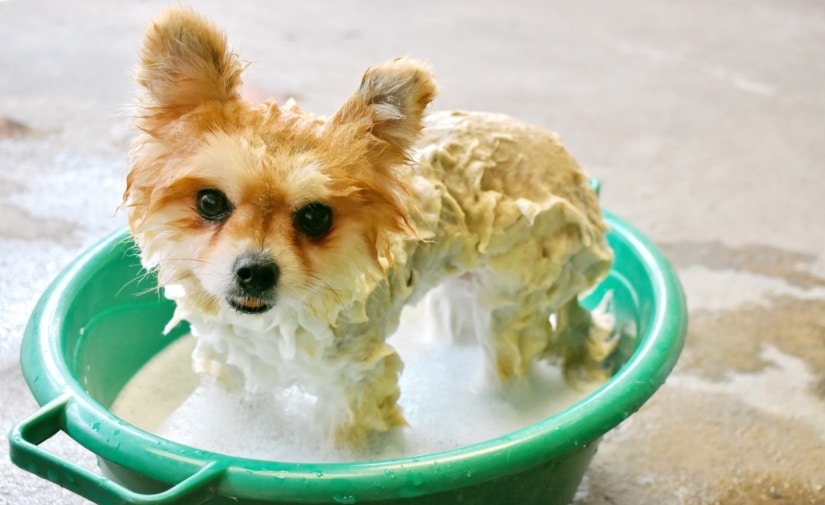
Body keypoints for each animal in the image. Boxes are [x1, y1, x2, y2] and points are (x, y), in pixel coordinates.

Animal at [122, 5, 612, 442]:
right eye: (210, 202)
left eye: (315, 217)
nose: (255, 272)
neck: (281, 320)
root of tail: (571, 173)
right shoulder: (231, 366)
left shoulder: (356, 386)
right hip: (461, 296)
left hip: (511, 306)